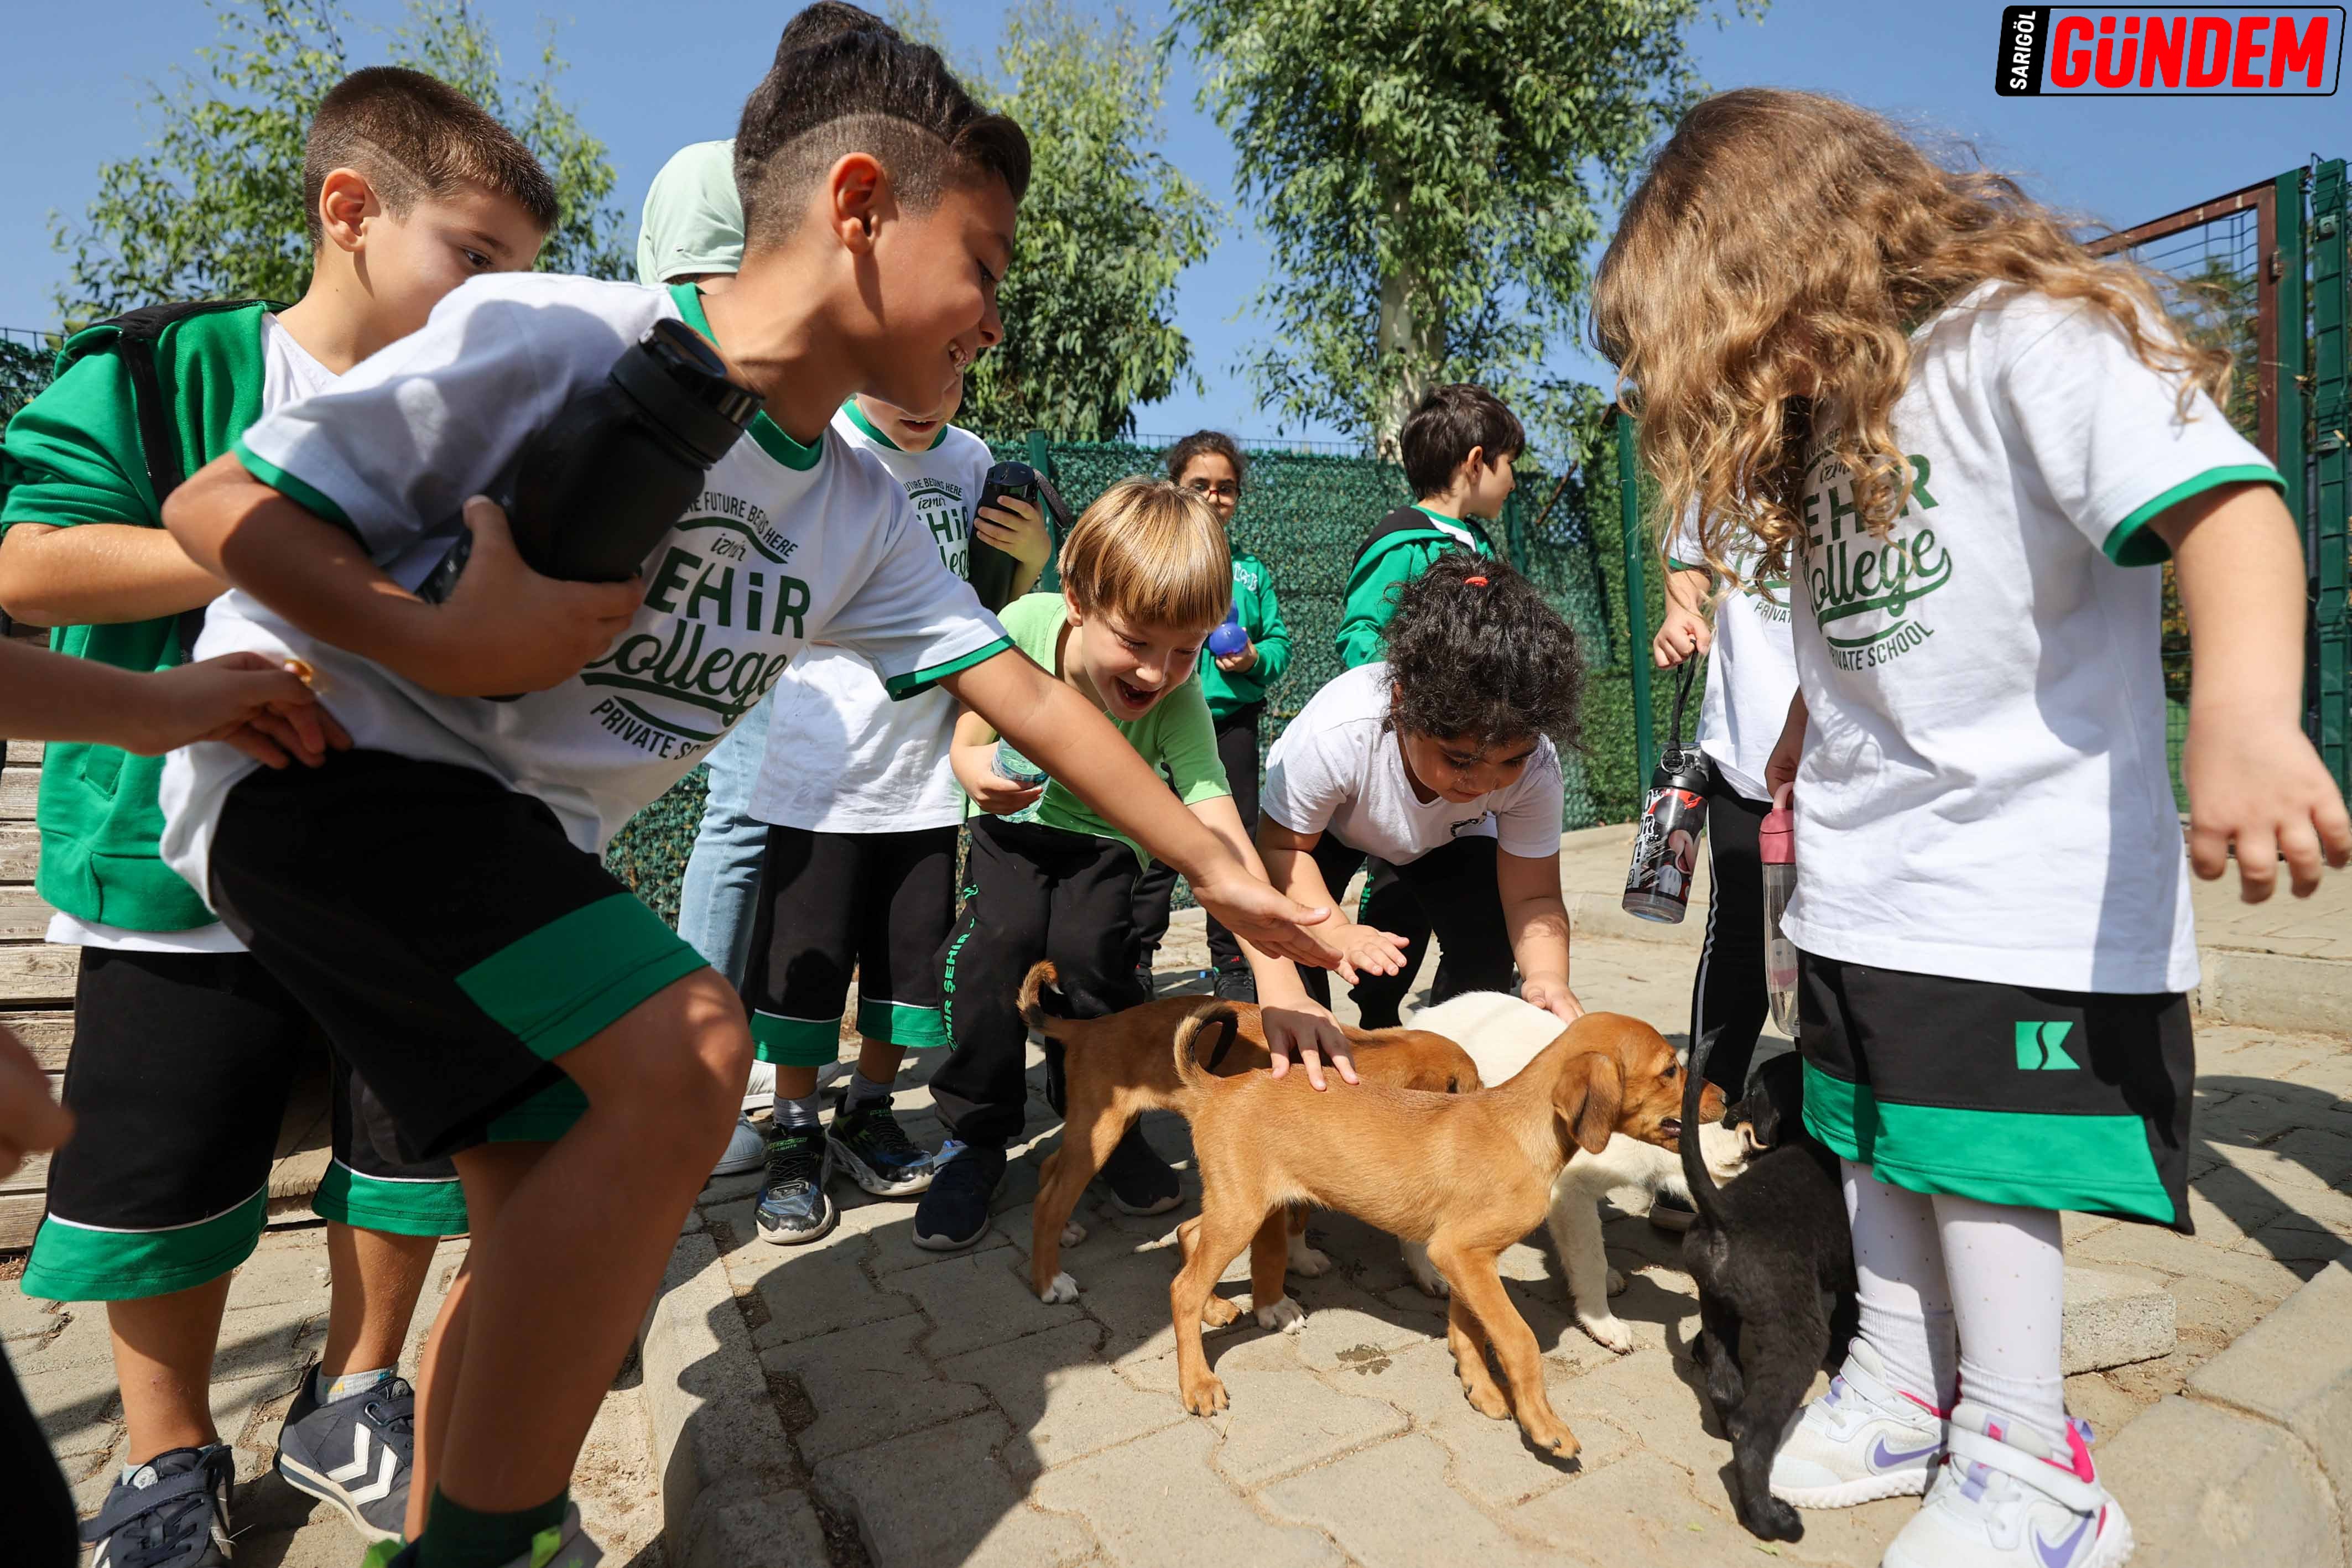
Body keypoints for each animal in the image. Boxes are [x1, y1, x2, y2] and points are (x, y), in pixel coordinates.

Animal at [1021, 963, 1477, 1307]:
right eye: (1473, 1088)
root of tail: (1088, 1029)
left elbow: (1299, 1215)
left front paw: (1301, 1258)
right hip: (1102, 1130)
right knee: (1048, 1200)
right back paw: (1050, 1281)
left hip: (1093, 1130)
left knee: (1051, 1169)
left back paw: (1067, 1231)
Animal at [1166, 1006, 1721, 1457]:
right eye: (1670, 1069)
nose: (1726, 1098)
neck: (1520, 1130)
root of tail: (1216, 1088)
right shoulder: (1461, 1252)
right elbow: (1518, 1339)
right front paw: (1543, 1423)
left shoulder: (1467, 1256)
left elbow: (1469, 1327)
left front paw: (1481, 1389)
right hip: (1243, 1209)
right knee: (1183, 1287)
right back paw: (1198, 1383)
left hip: (1238, 1202)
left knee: (1189, 1233)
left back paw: (1217, 1309)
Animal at [1392, 992, 1750, 1354]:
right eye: (1670, 1070)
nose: (1727, 1097)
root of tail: (1420, 1019)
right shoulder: (1570, 1192)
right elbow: (1591, 1257)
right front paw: (1602, 1322)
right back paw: (1427, 1274)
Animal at [1693, 1048, 1853, 1542]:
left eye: (1750, 1093)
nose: (1729, 1113)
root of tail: (1722, 1213)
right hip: (1799, 1336)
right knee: (1751, 1431)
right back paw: (1770, 1518)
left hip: (1716, 1306)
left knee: (1724, 1387)